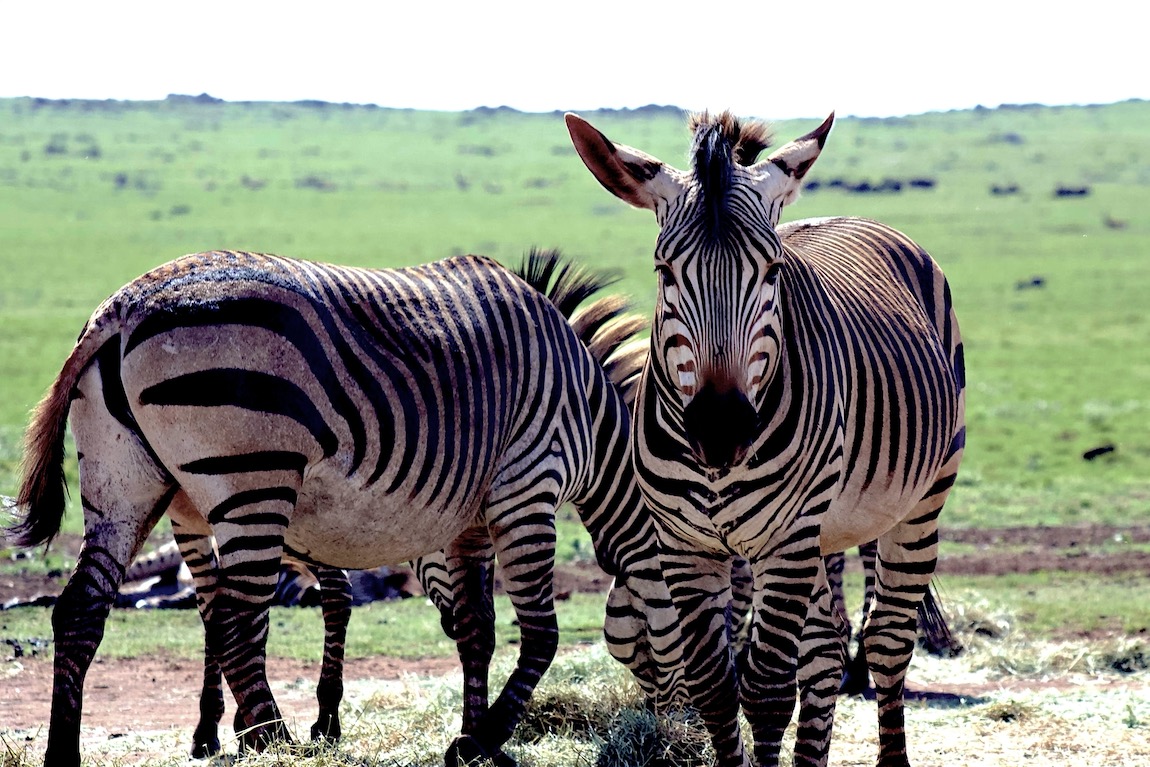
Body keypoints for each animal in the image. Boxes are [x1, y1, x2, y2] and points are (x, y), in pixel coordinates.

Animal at [10, 247, 682, 767]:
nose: (674, 727)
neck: (592, 421)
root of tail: (122, 308)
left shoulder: (466, 524)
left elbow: (476, 631)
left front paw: (474, 739)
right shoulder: (528, 485)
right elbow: (539, 634)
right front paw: (481, 739)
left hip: (124, 485)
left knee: (83, 611)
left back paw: (65, 753)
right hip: (252, 479)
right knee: (234, 618)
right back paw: (273, 742)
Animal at [566, 110, 966, 767]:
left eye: (772, 271)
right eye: (664, 272)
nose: (720, 428)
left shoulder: (787, 541)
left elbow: (769, 688)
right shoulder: (685, 548)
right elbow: (714, 685)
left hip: (917, 501)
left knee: (887, 641)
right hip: (828, 530)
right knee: (826, 648)